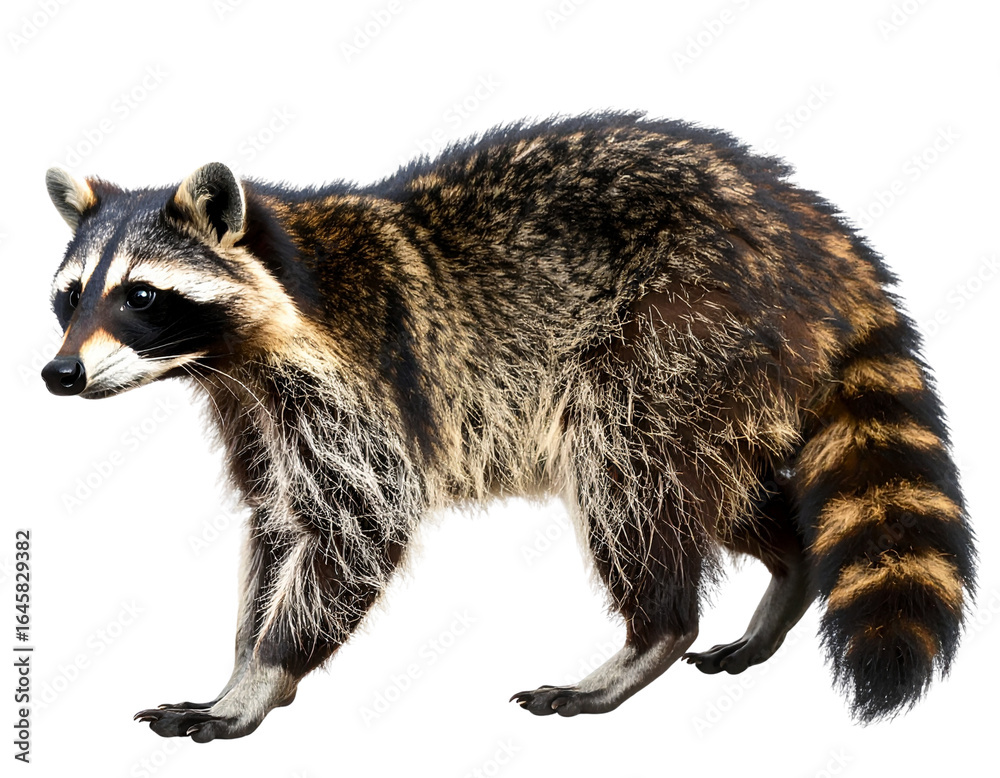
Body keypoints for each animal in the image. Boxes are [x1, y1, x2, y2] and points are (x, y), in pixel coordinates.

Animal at [42, 113, 975, 741]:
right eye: (69, 295)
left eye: (141, 295)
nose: (58, 375)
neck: (242, 342)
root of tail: (815, 229)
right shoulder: (258, 412)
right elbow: (280, 526)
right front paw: (238, 665)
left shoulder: (355, 392)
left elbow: (355, 526)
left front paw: (261, 678)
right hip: (734, 376)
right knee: (716, 487)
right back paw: (789, 568)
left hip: (683, 330)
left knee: (629, 472)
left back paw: (652, 634)